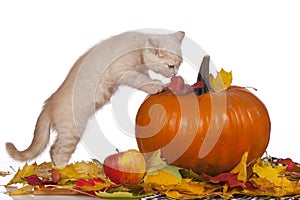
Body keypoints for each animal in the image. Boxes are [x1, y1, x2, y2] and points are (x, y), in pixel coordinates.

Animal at [5, 30, 185, 166]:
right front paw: (157, 85)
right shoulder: (122, 72)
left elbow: (144, 77)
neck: (138, 48)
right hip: (72, 130)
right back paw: (65, 174)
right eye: (170, 66)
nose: (176, 73)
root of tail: (49, 103)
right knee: (57, 151)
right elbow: (141, 80)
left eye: (180, 64)